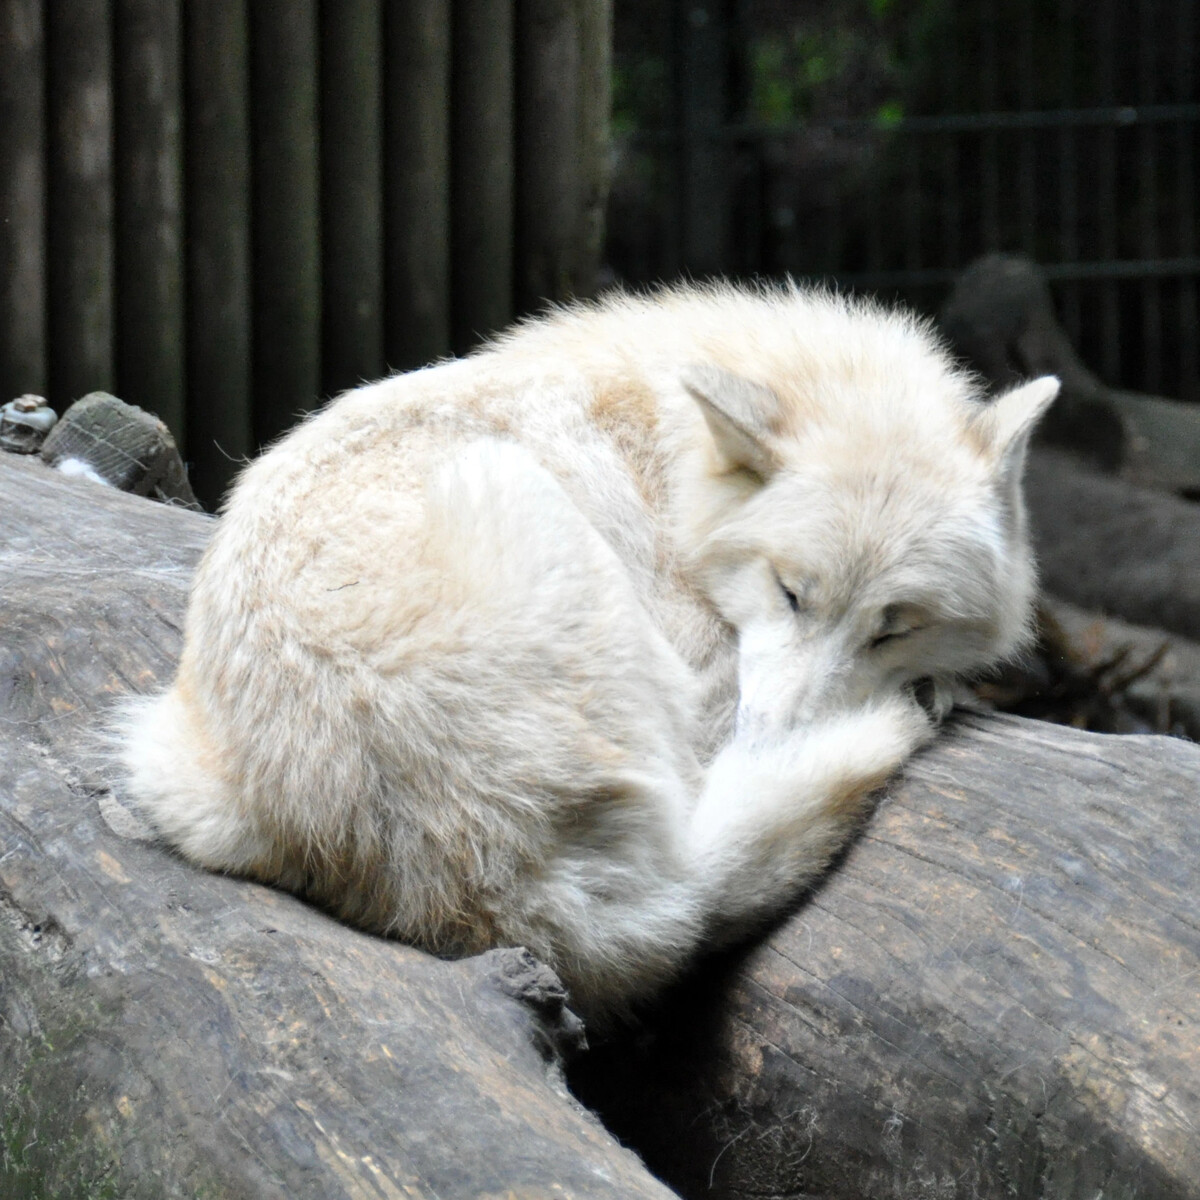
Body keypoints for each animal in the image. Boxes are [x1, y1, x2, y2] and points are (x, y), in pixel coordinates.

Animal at [119, 280, 1060, 1022]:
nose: (769, 739)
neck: (671, 460)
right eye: (791, 592)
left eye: (893, 624)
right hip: (508, 490)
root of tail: (492, 887)